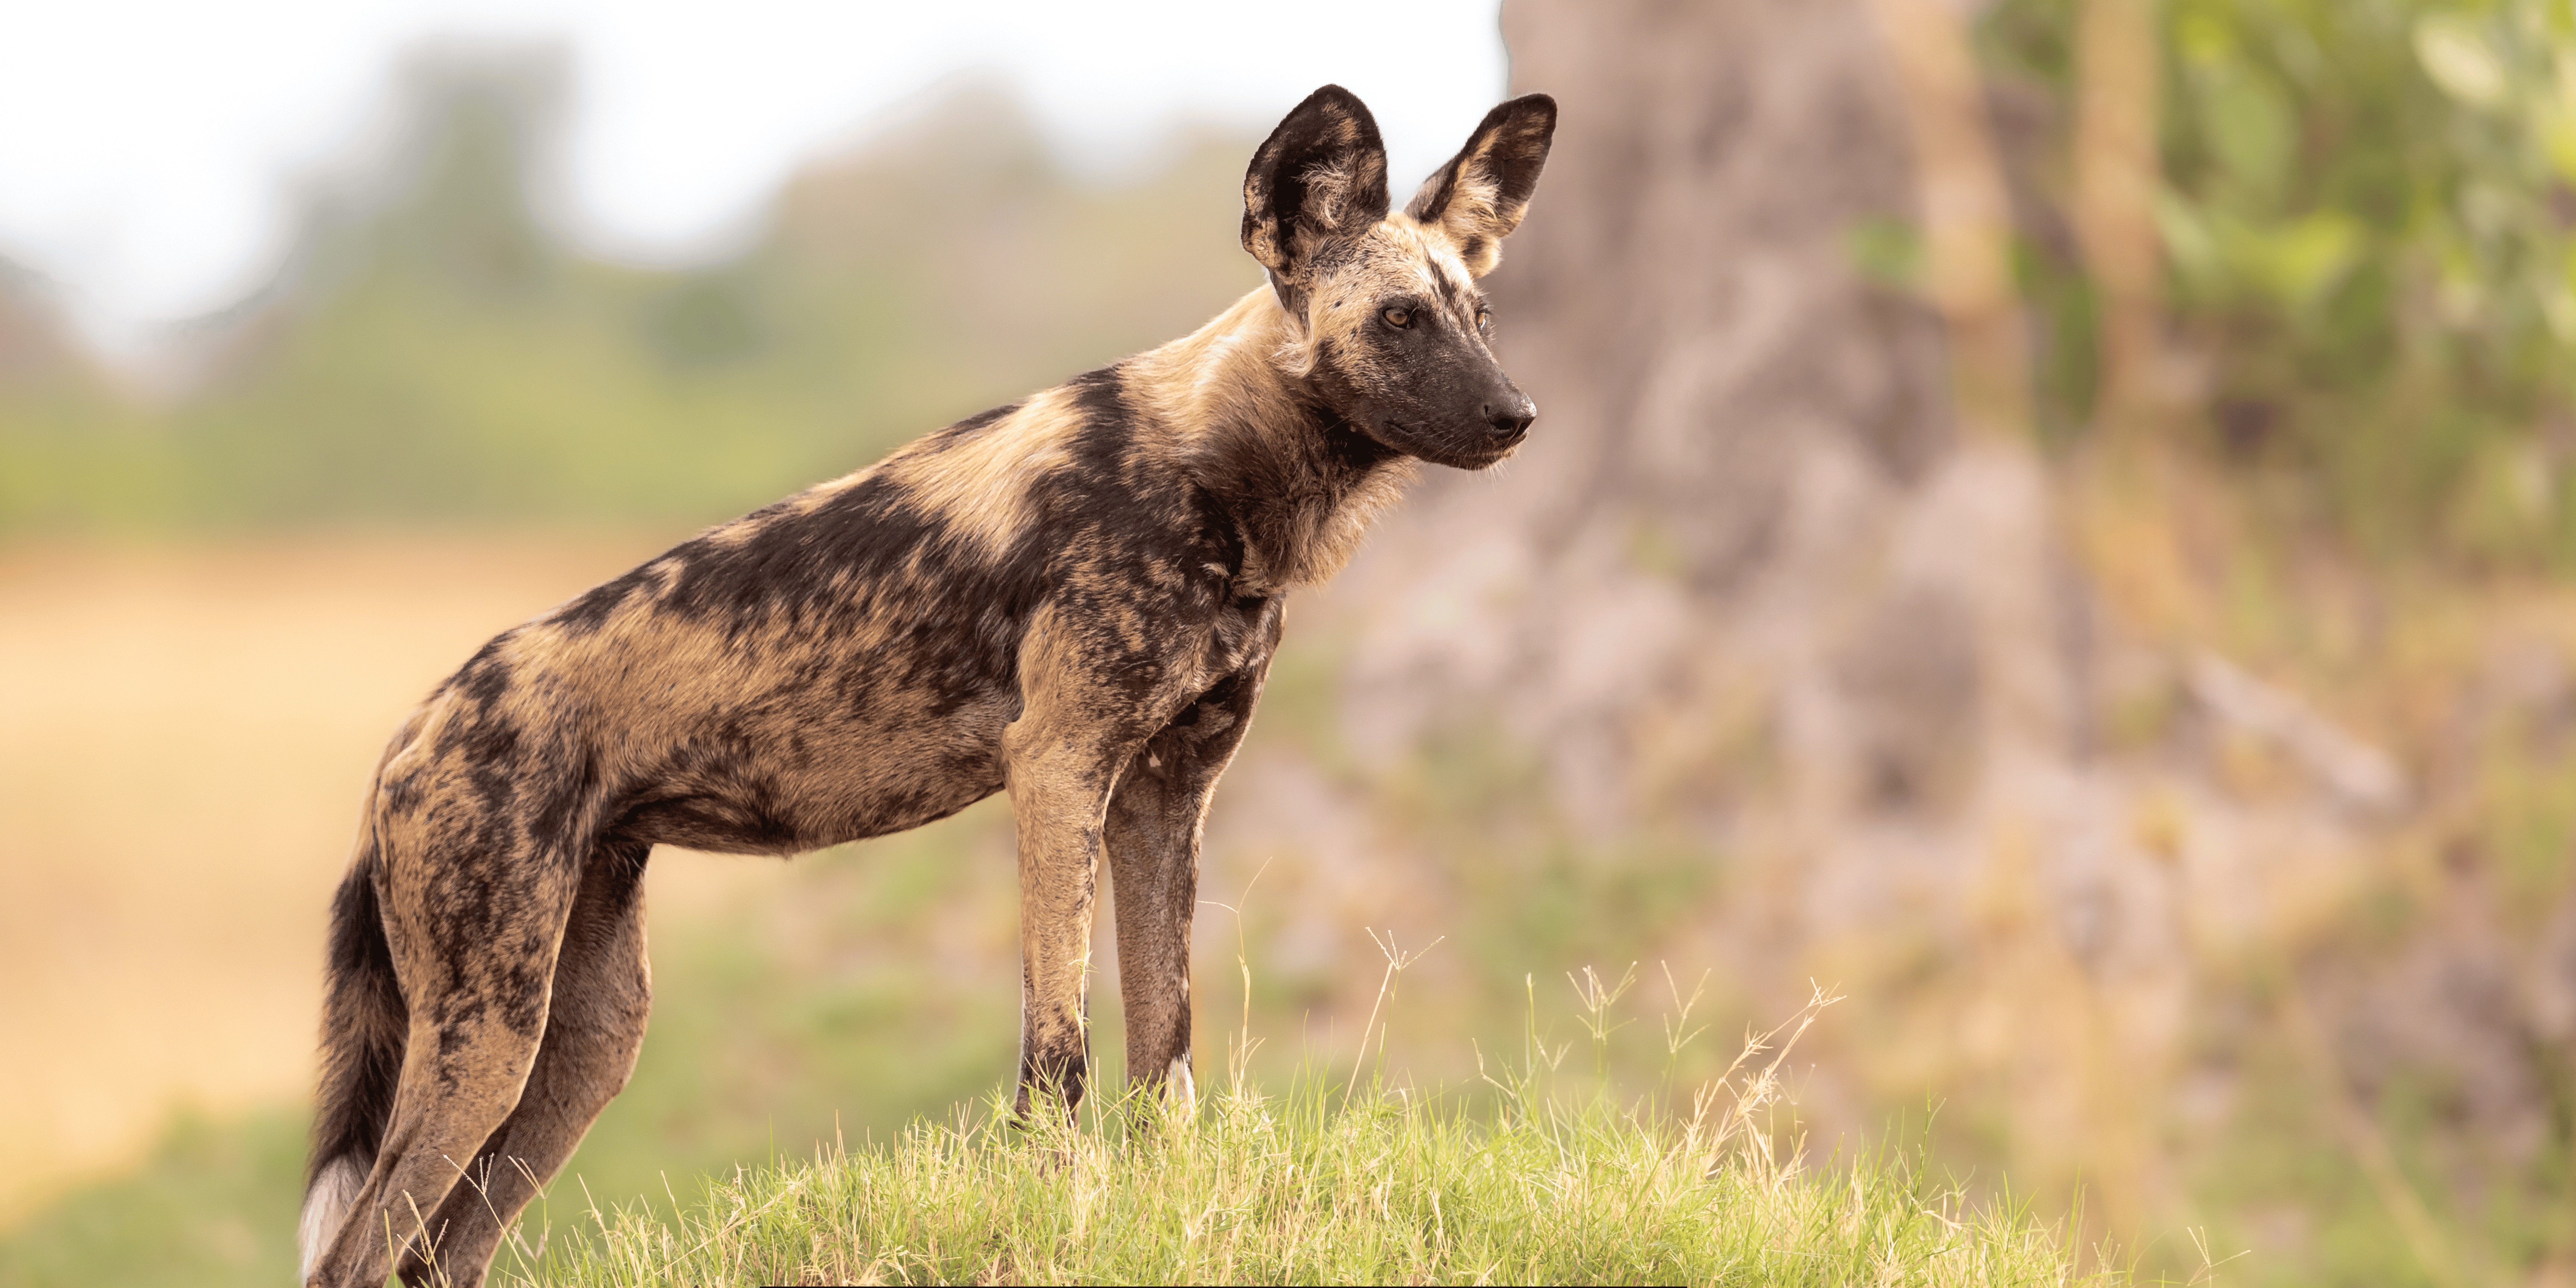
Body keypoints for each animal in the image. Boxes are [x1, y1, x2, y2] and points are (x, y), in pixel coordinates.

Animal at [301, 83, 1546, 1288]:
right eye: (1398, 321)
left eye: (1481, 320)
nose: (1518, 417)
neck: (1217, 472)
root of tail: (416, 727)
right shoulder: (1059, 770)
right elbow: (1060, 1055)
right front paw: (1059, 1214)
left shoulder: (1163, 799)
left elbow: (1167, 1060)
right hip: (486, 1036)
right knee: (356, 1252)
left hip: (584, 1044)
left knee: (441, 1250)